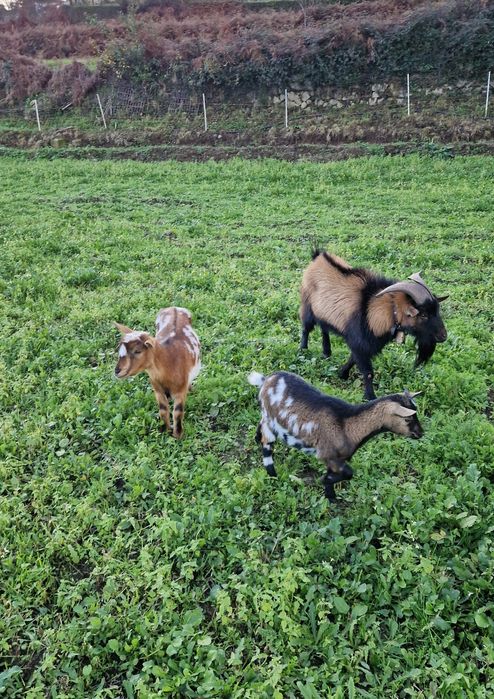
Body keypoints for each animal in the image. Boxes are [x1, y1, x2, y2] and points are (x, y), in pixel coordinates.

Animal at [114, 307, 201, 438]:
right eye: (119, 350)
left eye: (137, 351)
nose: (117, 371)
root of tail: (174, 307)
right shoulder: (157, 388)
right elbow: (163, 410)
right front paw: (165, 430)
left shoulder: (180, 390)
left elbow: (178, 412)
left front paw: (178, 435)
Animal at [249, 370, 423, 501]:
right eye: (408, 418)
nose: (420, 433)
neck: (347, 424)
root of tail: (266, 379)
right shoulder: (329, 455)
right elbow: (348, 474)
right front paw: (324, 481)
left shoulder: (335, 459)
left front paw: (330, 495)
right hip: (271, 422)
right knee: (267, 443)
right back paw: (272, 474)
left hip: (267, 417)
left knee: (261, 426)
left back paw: (256, 439)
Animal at [300, 250, 448, 400]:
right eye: (423, 315)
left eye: (437, 310)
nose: (443, 336)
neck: (372, 310)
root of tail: (317, 256)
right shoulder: (359, 342)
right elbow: (368, 372)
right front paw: (370, 397)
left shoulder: (365, 345)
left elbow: (353, 359)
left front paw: (342, 373)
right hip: (307, 307)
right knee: (306, 328)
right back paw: (303, 350)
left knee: (324, 328)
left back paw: (326, 352)